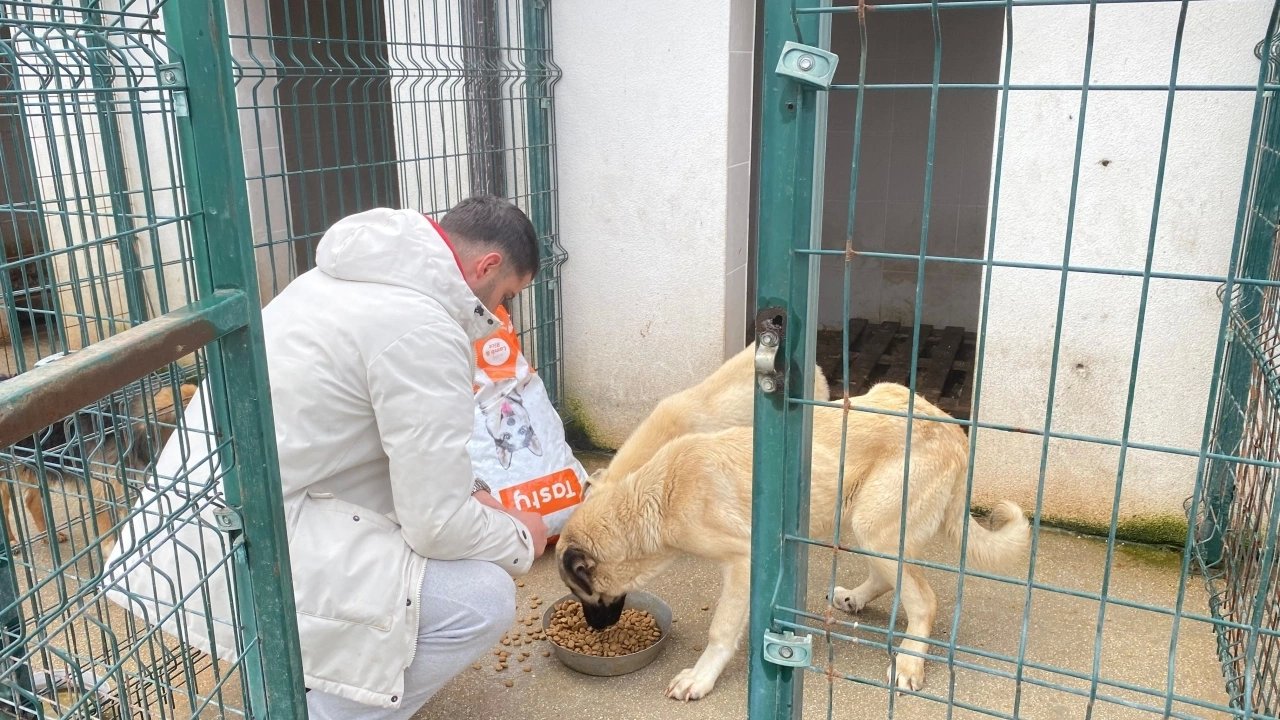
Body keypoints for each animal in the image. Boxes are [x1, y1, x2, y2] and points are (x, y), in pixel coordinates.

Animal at [560, 356, 1029, 696]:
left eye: (581, 593)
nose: (595, 630)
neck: (659, 495)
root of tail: (956, 432)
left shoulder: (742, 560)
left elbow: (722, 629)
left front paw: (701, 678)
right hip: (858, 513)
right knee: (892, 577)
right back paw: (855, 598)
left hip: (873, 524)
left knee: (923, 599)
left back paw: (910, 660)